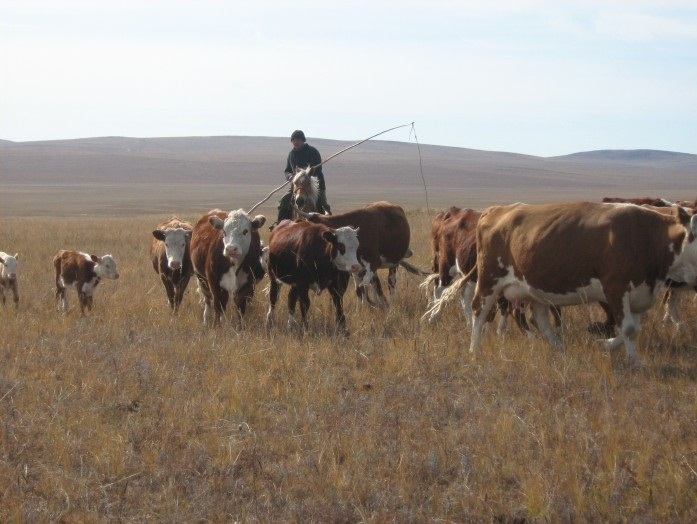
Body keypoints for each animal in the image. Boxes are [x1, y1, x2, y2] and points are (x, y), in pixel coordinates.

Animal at [294, 201, 424, 308]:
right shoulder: (355, 269)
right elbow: (359, 290)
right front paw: (361, 309)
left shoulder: (373, 263)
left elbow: (363, 287)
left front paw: (372, 306)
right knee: (375, 285)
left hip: (394, 263)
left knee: (391, 284)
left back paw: (390, 306)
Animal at [462, 203, 696, 366]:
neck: (646, 236)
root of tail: (497, 209)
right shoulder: (616, 287)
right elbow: (629, 329)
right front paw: (634, 362)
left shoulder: (641, 292)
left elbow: (633, 328)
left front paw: (605, 344)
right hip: (490, 278)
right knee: (479, 310)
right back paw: (475, 351)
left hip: (535, 288)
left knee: (540, 319)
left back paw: (559, 349)